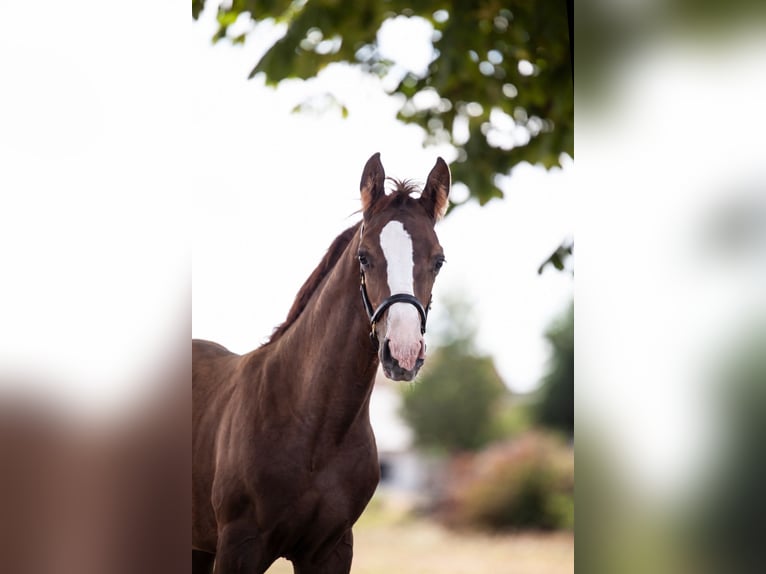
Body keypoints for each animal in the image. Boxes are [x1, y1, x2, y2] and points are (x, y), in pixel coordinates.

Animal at [192, 153, 451, 574]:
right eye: (364, 256)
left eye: (439, 260)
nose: (403, 352)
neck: (312, 426)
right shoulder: (238, 548)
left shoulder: (331, 549)